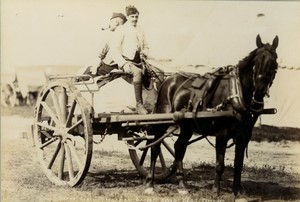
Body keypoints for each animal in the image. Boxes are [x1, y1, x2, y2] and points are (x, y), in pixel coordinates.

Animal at [145, 35, 278, 196]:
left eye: (274, 62)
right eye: (256, 62)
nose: (259, 90)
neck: (236, 93)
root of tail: (167, 81)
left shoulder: (243, 136)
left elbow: (238, 164)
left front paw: (238, 191)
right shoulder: (222, 134)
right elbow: (220, 164)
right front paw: (216, 191)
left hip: (187, 127)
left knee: (179, 147)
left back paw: (182, 185)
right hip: (162, 121)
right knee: (155, 147)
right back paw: (150, 183)